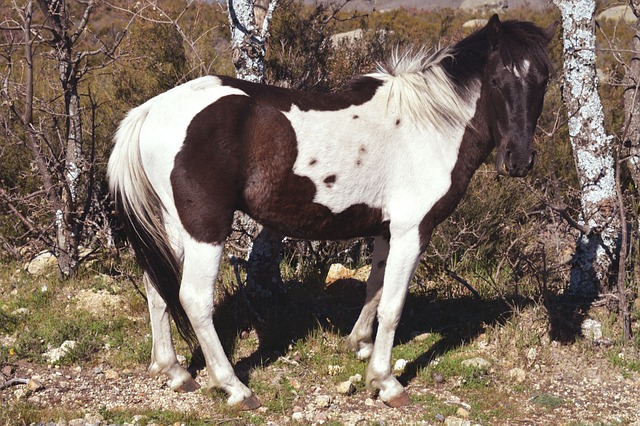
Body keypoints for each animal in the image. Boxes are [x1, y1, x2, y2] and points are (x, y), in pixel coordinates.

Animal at [109, 15, 556, 410]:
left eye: (543, 80)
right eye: (496, 80)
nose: (519, 161)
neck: (430, 124)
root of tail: (150, 110)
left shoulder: (386, 230)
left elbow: (375, 290)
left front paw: (359, 346)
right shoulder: (413, 230)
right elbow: (393, 305)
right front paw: (385, 382)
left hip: (170, 227)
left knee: (157, 287)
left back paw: (174, 371)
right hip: (205, 228)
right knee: (193, 298)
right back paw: (234, 387)